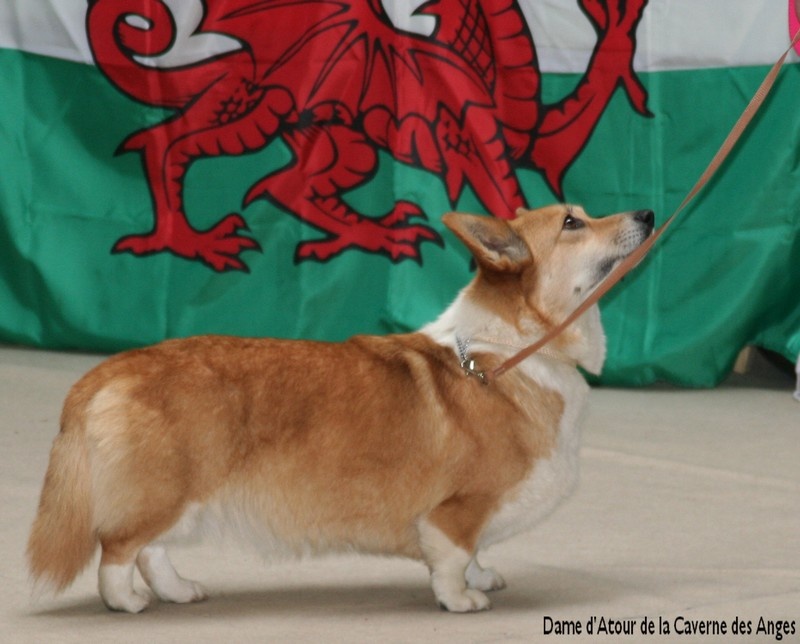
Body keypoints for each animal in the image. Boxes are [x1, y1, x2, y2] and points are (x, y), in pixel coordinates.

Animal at [27, 204, 654, 613]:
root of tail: (108, 370)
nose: (648, 214)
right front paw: (462, 599)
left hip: (182, 497)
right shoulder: (457, 509)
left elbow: (476, 549)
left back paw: (179, 591)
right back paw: (127, 602)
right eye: (572, 223)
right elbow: (453, 557)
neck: (509, 352)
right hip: (169, 489)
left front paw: (485, 575)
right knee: (117, 550)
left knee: (151, 549)